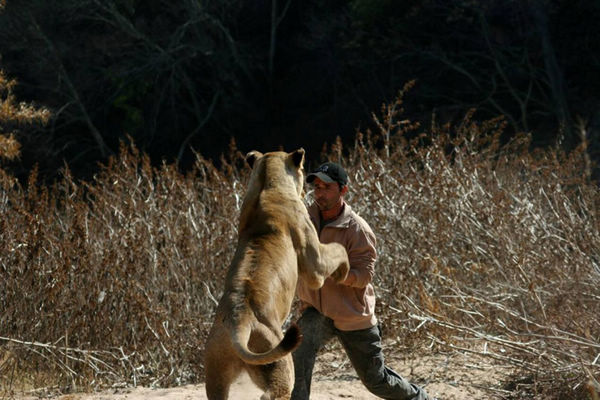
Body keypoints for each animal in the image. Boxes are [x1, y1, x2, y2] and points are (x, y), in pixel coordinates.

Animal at [204, 148, 350, 398]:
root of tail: (237, 322)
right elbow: (338, 249)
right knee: (272, 392)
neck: (267, 184)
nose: (308, 190)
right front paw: (344, 272)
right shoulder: (314, 264)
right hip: (280, 360)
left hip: (216, 374)